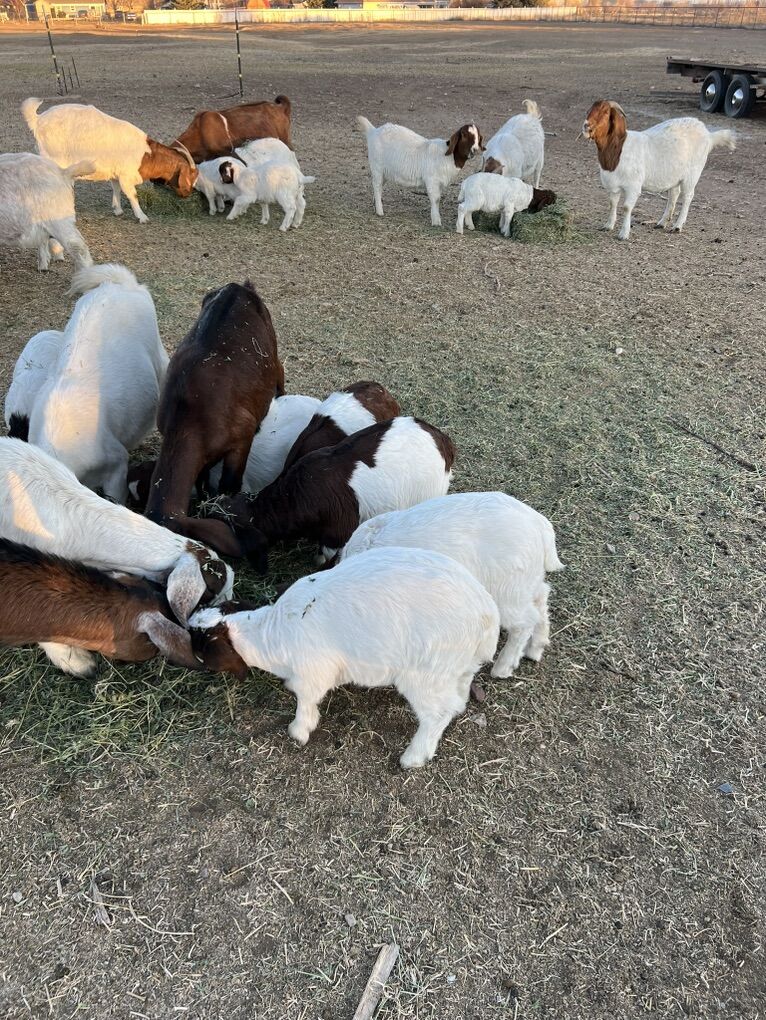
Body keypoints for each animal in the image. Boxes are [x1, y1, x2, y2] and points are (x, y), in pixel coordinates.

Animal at [22, 98, 198, 224]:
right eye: (191, 176)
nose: (187, 194)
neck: (146, 155)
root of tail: (38, 120)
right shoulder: (126, 176)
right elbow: (132, 195)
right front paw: (142, 217)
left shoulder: (116, 173)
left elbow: (116, 188)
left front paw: (117, 209)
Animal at [145, 280, 284, 556]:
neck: (189, 414)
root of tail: (239, 286)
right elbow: (202, 478)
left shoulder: (242, 438)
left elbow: (229, 483)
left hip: (270, 346)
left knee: (280, 370)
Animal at [190, 546, 499, 768]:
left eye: (202, 647)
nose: (194, 665)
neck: (271, 632)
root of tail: (487, 616)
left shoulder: (312, 672)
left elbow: (305, 699)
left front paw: (298, 731)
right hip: (454, 668)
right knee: (457, 698)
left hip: (424, 675)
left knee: (437, 714)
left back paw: (413, 758)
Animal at [340, 491, 564, 678]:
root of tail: (539, 524)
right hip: (525, 581)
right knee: (541, 597)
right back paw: (536, 647)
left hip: (507, 591)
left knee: (525, 622)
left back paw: (503, 667)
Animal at [582, 101, 736, 240]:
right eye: (589, 110)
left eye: (605, 112)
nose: (586, 126)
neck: (618, 149)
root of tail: (708, 134)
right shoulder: (613, 184)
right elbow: (612, 204)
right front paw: (608, 225)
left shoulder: (633, 186)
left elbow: (626, 207)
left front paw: (623, 234)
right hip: (675, 174)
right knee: (674, 194)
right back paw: (662, 222)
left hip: (693, 173)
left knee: (687, 196)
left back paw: (677, 226)